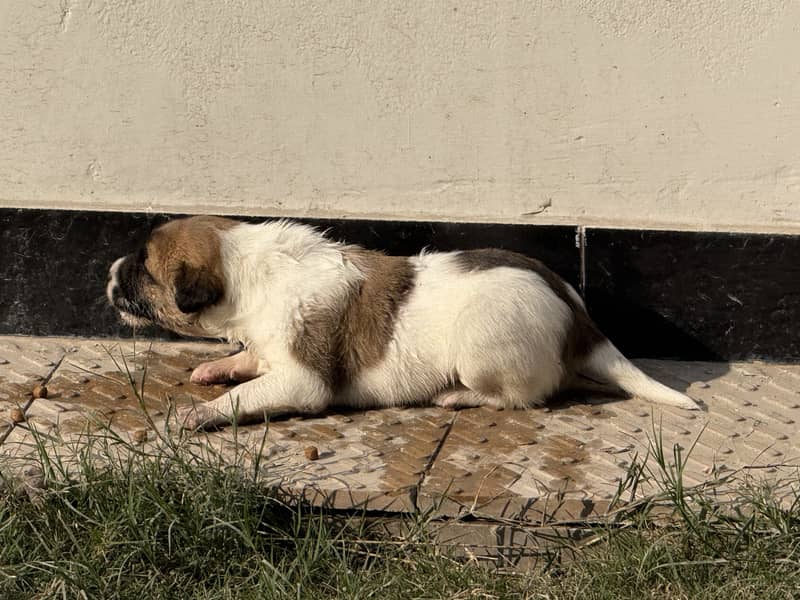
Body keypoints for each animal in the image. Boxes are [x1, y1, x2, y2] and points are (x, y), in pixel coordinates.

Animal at [108, 214, 700, 426]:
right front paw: (219, 368)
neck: (245, 270)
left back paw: (459, 396)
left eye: (142, 267)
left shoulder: (302, 381)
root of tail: (579, 315)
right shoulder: (273, 350)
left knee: (526, 395)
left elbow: (245, 396)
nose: (109, 272)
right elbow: (250, 361)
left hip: (483, 353)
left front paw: (196, 413)